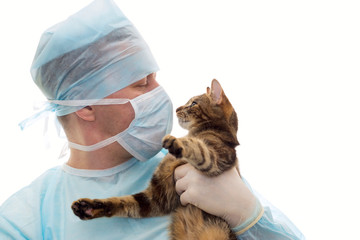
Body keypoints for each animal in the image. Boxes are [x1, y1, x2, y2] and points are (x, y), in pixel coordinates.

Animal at [71, 79, 239, 240]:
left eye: (193, 103)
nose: (177, 108)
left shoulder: (218, 158)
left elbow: (198, 148)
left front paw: (178, 142)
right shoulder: (156, 197)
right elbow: (123, 202)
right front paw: (90, 207)